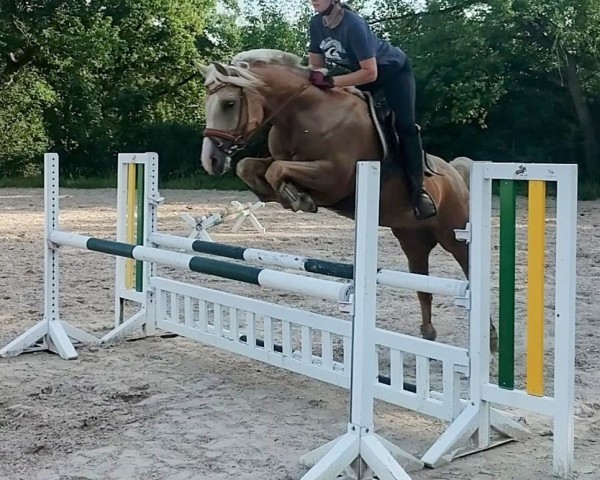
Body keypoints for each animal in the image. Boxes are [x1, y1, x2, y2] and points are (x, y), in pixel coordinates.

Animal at [196, 48, 496, 350]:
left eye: (229, 103)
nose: (211, 160)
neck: (303, 114)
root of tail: (454, 172)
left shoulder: (335, 177)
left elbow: (276, 169)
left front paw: (296, 197)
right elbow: (249, 166)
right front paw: (285, 195)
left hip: (453, 234)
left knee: (468, 269)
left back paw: (491, 337)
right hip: (413, 240)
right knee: (422, 283)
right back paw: (428, 334)